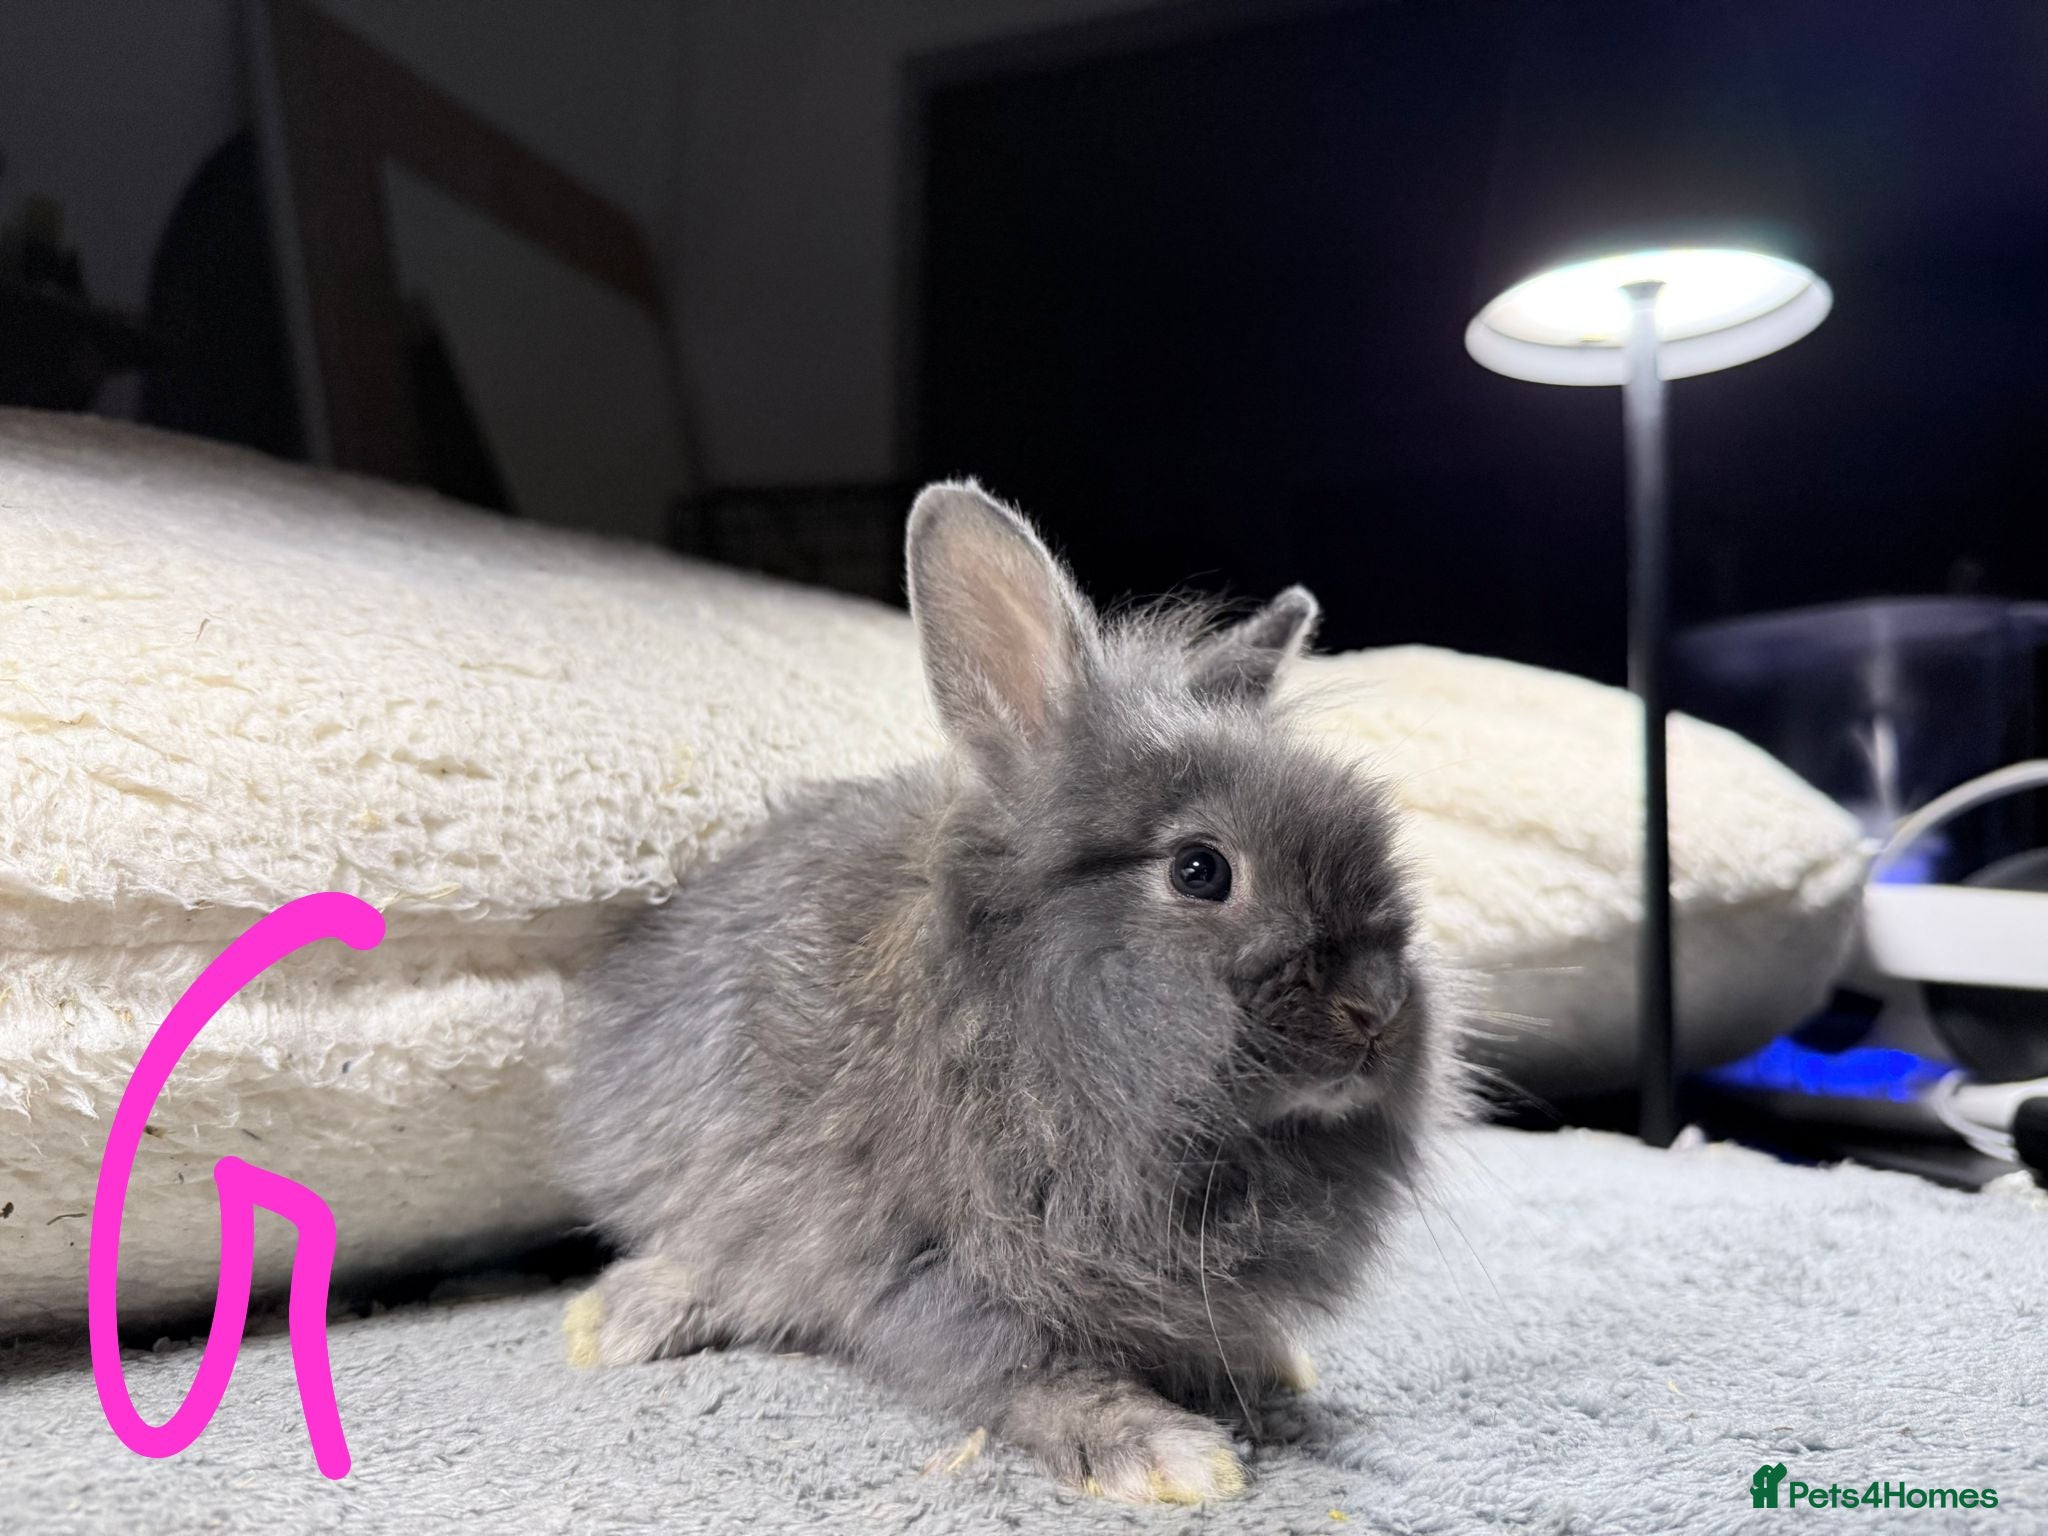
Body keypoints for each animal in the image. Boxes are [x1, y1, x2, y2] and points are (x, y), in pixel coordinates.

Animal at [557, 481, 1462, 1504]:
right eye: (1200, 871)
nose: (1377, 1009)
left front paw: (1274, 1374)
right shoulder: (945, 1273)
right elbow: (1036, 1376)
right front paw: (1172, 1458)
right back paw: (618, 1322)